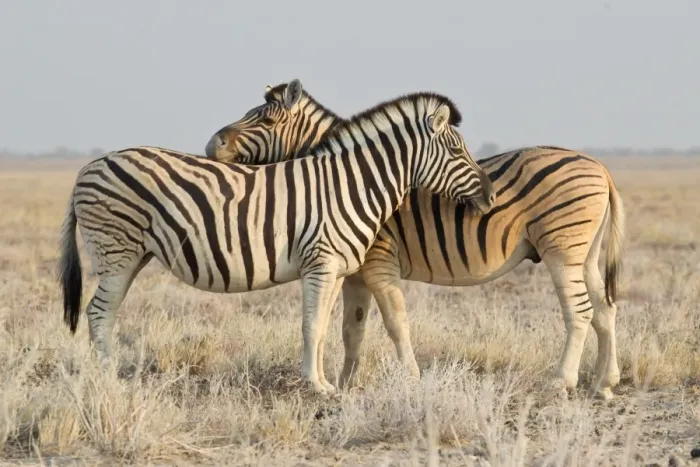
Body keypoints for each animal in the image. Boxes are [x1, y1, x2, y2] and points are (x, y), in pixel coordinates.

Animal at [58, 88, 495, 394]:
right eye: (457, 150)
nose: (490, 196)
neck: (353, 185)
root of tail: (88, 167)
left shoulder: (335, 269)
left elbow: (321, 326)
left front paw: (324, 383)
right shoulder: (320, 263)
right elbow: (312, 325)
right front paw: (316, 387)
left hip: (133, 255)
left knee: (105, 313)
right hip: (117, 250)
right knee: (98, 313)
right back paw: (109, 380)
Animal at [205, 79, 625, 400]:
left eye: (264, 118)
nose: (211, 145)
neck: (345, 180)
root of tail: (601, 167)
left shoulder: (378, 262)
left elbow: (394, 323)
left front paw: (405, 380)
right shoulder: (354, 272)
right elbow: (352, 330)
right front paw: (345, 385)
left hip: (561, 250)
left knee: (580, 311)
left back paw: (561, 382)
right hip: (586, 254)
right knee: (605, 309)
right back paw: (604, 384)